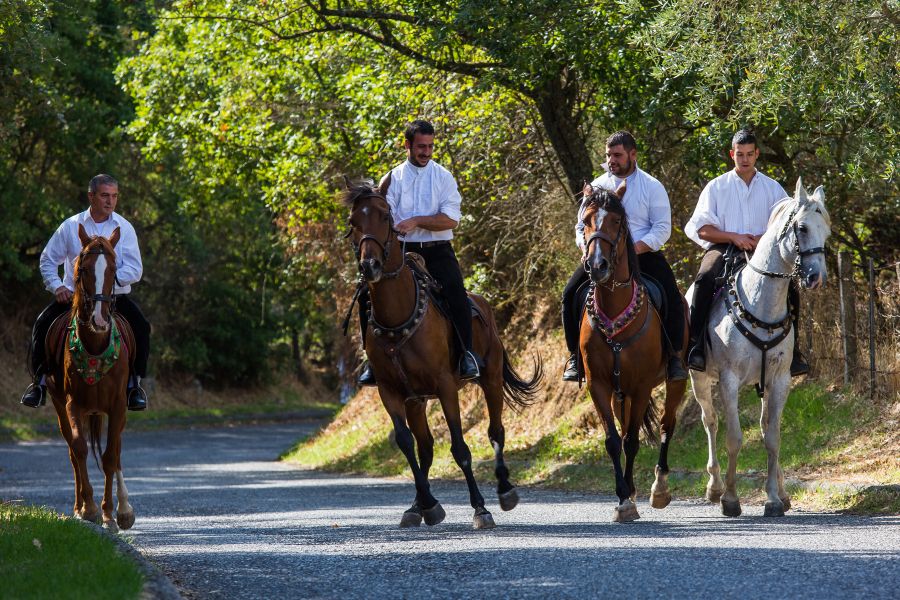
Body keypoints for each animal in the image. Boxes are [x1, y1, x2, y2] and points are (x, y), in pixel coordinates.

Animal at [45, 224, 136, 528]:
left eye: (114, 268)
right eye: (83, 268)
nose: (99, 319)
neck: (95, 346)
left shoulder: (118, 406)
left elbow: (110, 457)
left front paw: (111, 512)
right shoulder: (73, 404)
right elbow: (80, 449)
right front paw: (90, 509)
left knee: (115, 451)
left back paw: (122, 508)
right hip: (61, 406)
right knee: (74, 453)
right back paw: (79, 506)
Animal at [342, 183, 540, 528]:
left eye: (385, 216)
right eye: (354, 221)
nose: (370, 266)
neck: (398, 316)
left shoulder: (446, 387)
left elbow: (460, 448)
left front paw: (480, 509)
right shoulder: (391, 392)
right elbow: (406, 443)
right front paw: (428, 505)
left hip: (489, 379)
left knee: (495, 431)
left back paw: (504, 490)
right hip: (417, 401)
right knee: (425, 447)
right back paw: (416, 507)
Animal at [580, 190, 684, 524]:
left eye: (617, 221)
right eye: (586, 220)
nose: (597, 265)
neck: (615, 309)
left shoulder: (641, 387)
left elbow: (632, 440)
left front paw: (629, 501)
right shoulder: (599, 386)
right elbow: (614, 440)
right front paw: (623, 497)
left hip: (675, 382)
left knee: (666, 425)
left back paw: (659, 489)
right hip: (618, 394)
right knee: (626, 428)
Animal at [688, 177, 828, 516]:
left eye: (826, 231)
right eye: (802, 228)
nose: (817, 277)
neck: (758, 300)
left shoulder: (779, 380)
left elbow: (773, 437)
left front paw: (774, 499)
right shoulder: (729, 380)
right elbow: (734, 438)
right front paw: (730, 499)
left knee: (765, 427)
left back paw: (782, 491)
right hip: (699, 378)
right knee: (710, 422)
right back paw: (714, 487)